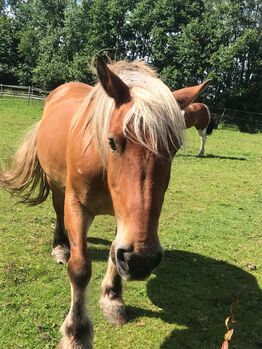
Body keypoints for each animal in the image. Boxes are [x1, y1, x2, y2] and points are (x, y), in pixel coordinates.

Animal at [0, 57, 209, 348]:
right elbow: (80, 269)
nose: (141, 260)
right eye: (112, 142)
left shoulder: (124, 218)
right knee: (58, 213)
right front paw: (76, 333)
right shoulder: (77, 207)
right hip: (57, 186)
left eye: (174, 147)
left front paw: (112, 299)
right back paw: (60, 246)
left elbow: (113, 252)